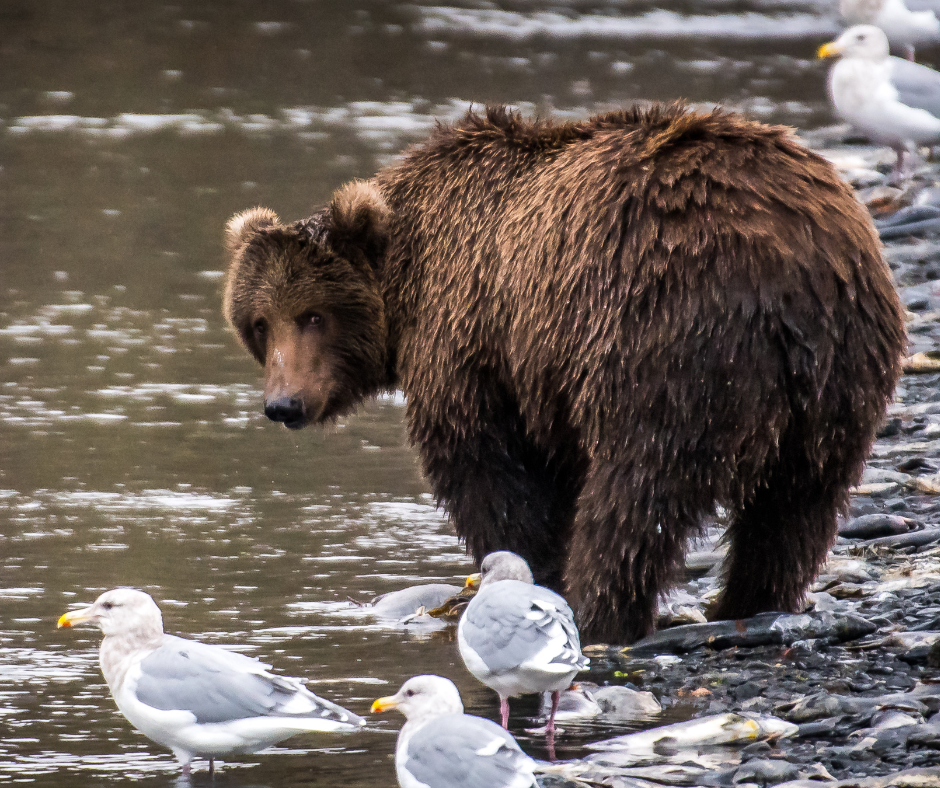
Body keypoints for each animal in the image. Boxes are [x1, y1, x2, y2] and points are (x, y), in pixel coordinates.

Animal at [220, 104, 904, 644]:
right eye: (259, 322)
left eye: (312, 315)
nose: (283, 404)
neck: (409, 283)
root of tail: (791, 271)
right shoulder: (542, 368)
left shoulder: (475, 339)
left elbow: (487, 469)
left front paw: (525, 571)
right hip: (840, 376)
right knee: (798, 504)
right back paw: (750, 602)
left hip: (667, 343)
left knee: (637, 491)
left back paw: (603, 611)